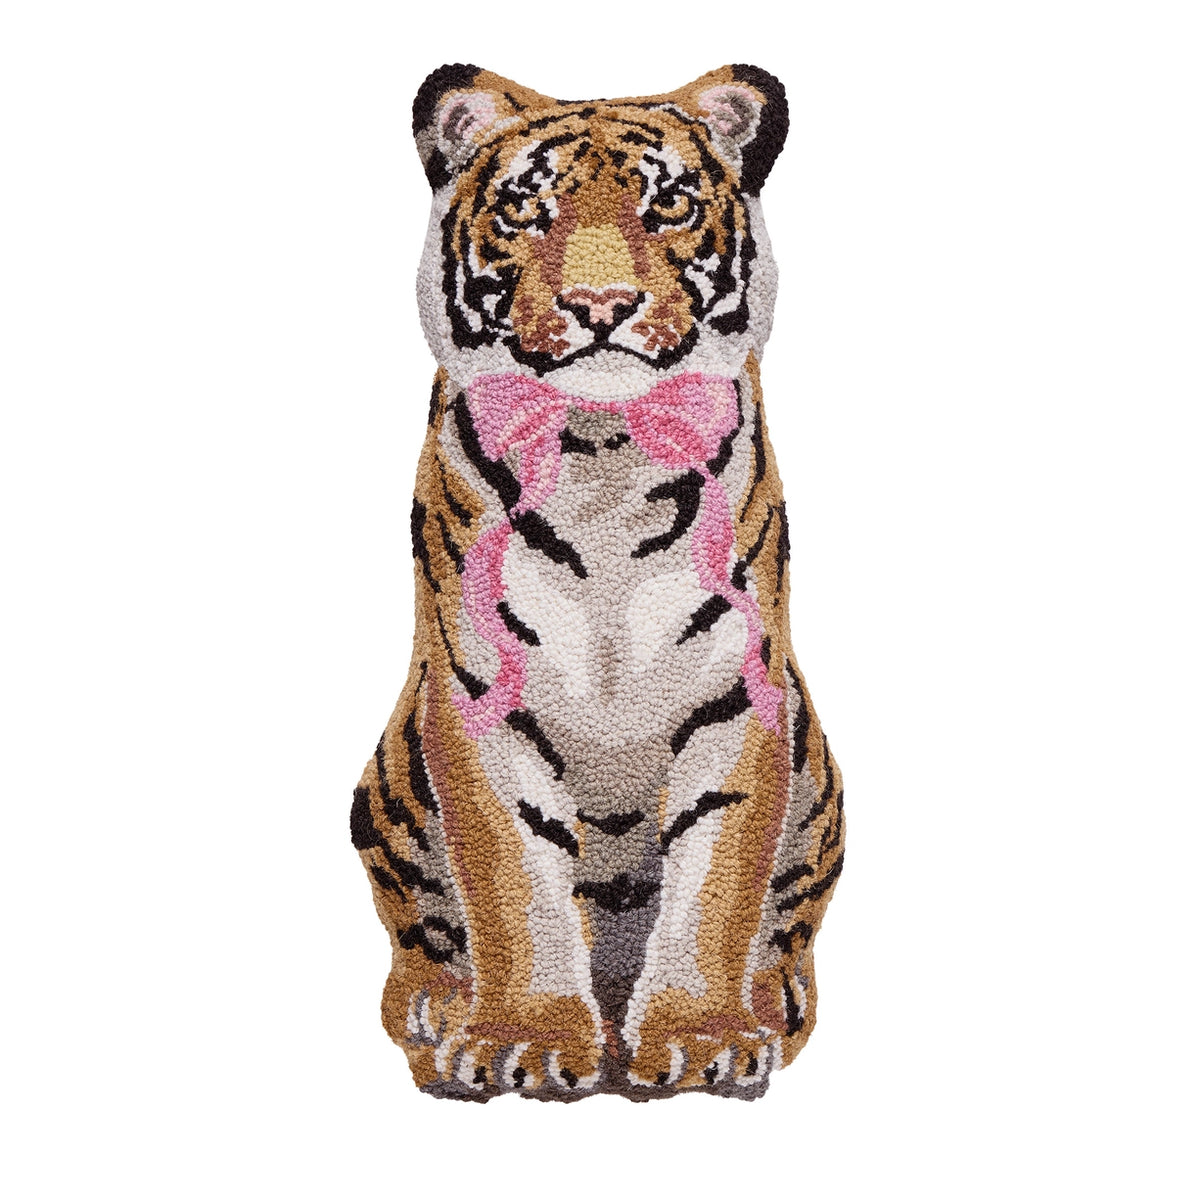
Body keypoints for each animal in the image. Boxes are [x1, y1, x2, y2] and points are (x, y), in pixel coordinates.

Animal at [351, 63, 845, 1101]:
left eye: (669, 205)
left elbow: (716, 887)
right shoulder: (477, 699)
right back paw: (436, 1011)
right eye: (527, 209)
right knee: (418, 937)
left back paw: (773, 999)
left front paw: (700, 1036)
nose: (602, 302)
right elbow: (512, 885)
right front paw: (524, 1039)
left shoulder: (738, 696)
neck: (601, 457)